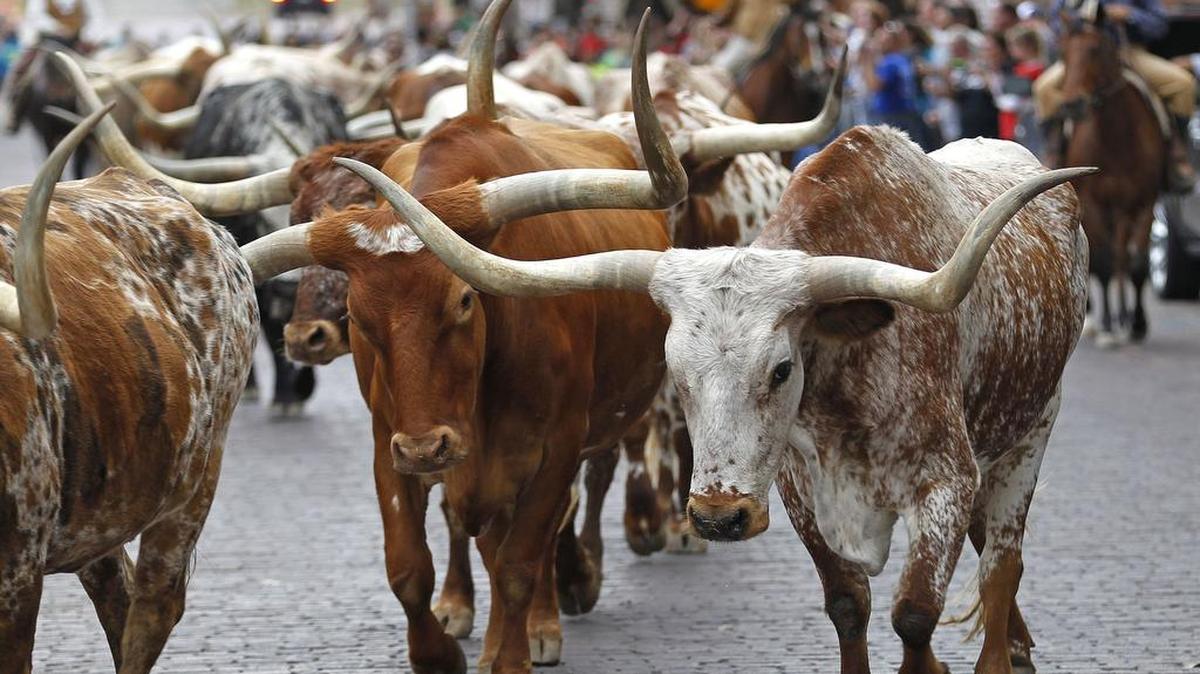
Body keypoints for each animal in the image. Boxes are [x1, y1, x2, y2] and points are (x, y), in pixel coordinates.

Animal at [236, 6, 686, 671]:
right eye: (361, 319)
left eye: (465, 300)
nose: (429, 448)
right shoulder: (389, 445)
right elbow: (408, 568)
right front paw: (438, 652)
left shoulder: (556, 447)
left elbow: (522, 561)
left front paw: (513, 652)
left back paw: (551, 612)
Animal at [346, 117, 1096, 673]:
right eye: (675, 372)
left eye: (782, 369)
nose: (717, 515)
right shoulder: (799, 490)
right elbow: (848, 605)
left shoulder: (944, 480)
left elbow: (915, 613)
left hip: (1033, 430)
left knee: (1001, 558)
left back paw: (1004, 653)